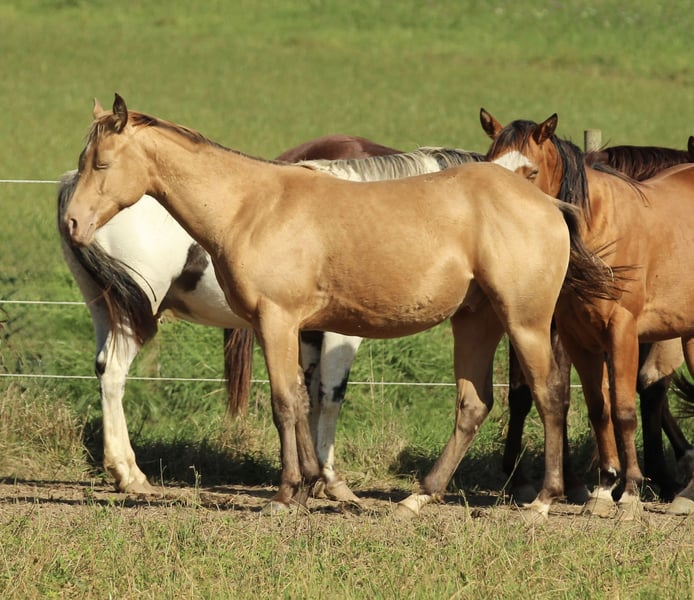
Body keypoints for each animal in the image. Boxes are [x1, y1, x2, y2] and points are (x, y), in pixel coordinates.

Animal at [58, 140, 482, 501]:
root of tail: (70, 185)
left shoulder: (304, 330)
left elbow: (304, 396)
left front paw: (311, 480)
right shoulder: (338, 333)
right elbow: (329, 397)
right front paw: (331, 483)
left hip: (105, 310)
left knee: (103, 369)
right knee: (115, 373)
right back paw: (130, 475)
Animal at [481, 108, 694, 516]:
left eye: (531, 172)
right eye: (489, 165)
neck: (599, 229)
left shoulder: (623, 332)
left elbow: (624, 408)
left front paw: (631, 492)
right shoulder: (578, 337)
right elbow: (598, 408)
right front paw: (603, 488)